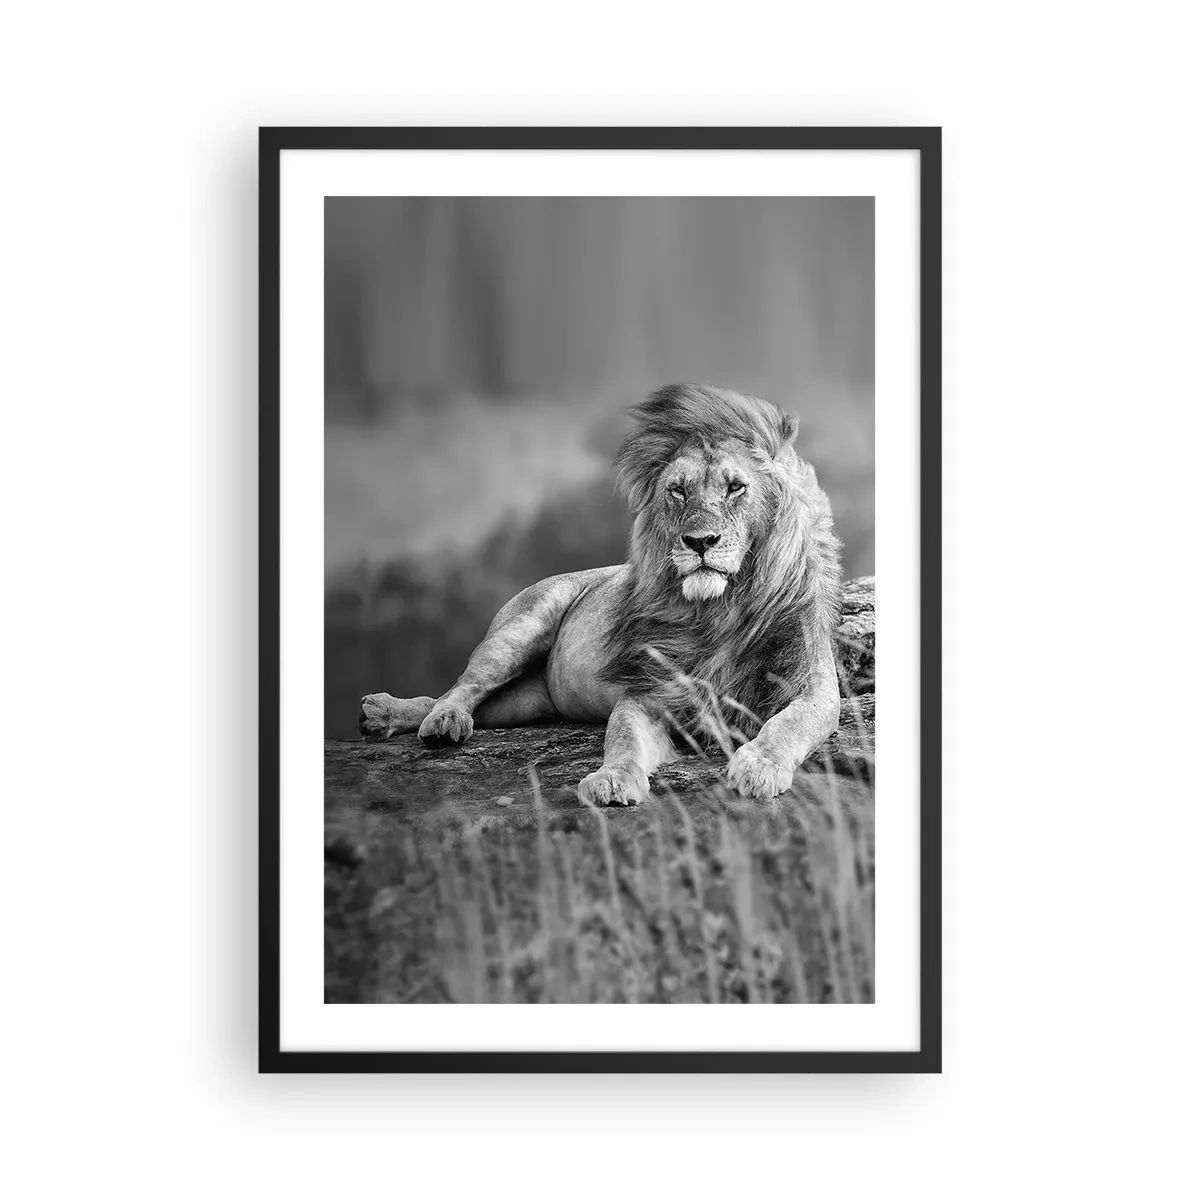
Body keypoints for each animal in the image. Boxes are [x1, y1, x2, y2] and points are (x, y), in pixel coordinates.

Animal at [359, 384, 844, 804]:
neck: (719, 610)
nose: (699, 541)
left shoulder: (812, 686)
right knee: (462, 687)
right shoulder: (649, 691)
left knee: (468, 702)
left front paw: (759, 766)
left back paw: (387, 715)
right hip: (519, 629)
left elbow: (789, 724)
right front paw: (611, 780)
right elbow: (623, 737)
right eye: (678, 490)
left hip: (530, 703)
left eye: (735, 487)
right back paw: (430, 719)